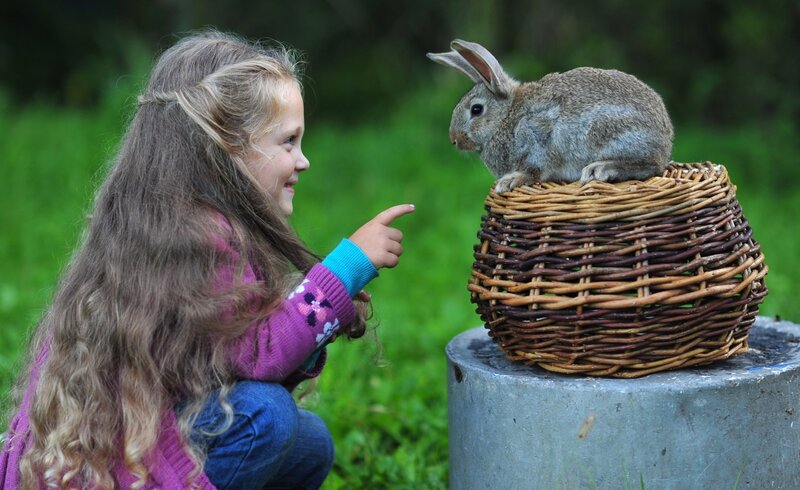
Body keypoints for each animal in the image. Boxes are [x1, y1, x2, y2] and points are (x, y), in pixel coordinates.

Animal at [427, 39, 674, 192]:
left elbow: (534, 171)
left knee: (651, 166)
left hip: (609, 131)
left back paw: (601, 169)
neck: (507, 116)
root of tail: (666, 141)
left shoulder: (536, 141)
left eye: (476, 110)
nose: (454, 139)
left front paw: (509, 181)